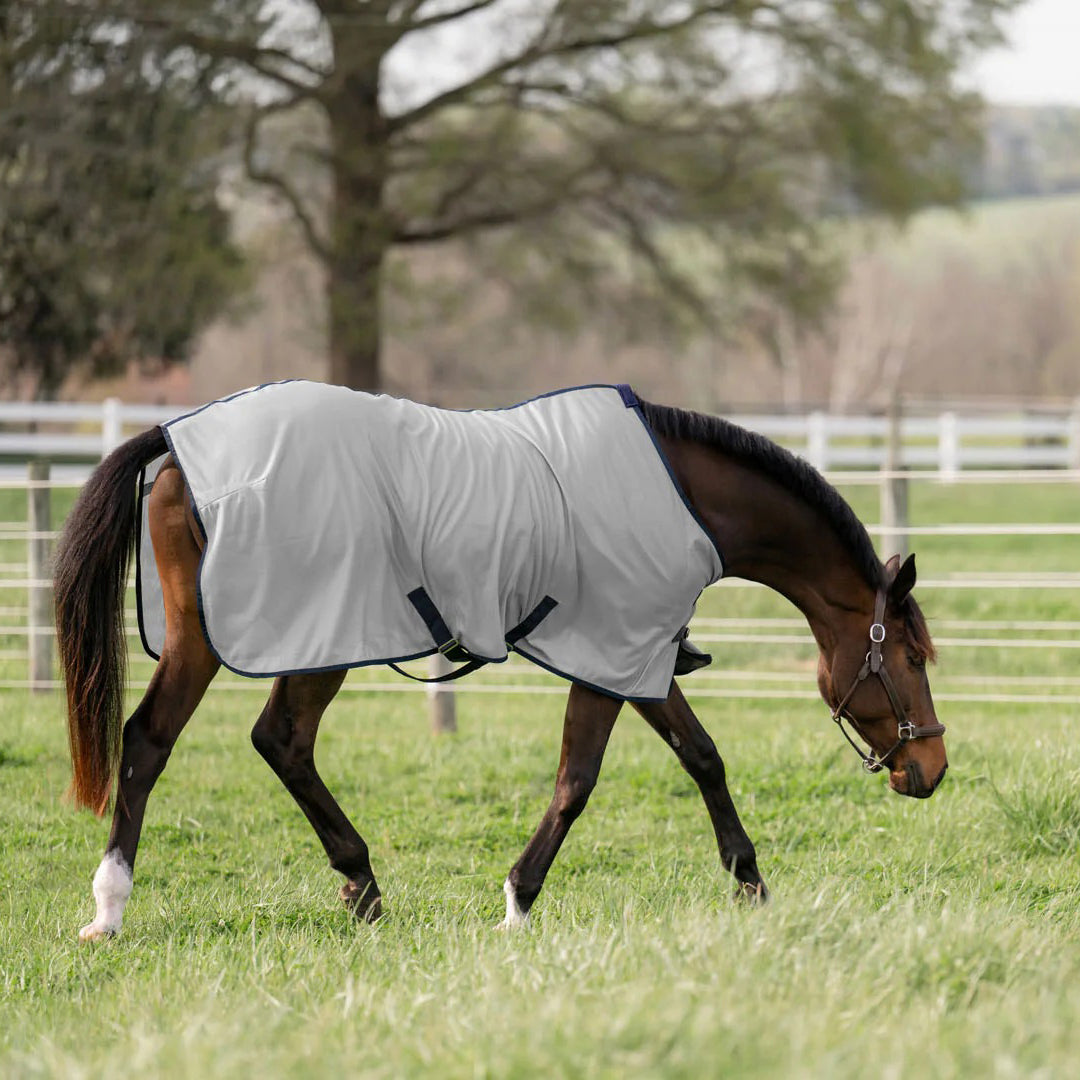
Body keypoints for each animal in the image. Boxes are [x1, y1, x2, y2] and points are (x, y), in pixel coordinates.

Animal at [54, 383, 947, 941]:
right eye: (908, 654)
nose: (932, 768)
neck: (682, 493)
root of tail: (178, 443)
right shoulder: (612, 652)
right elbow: (578, 782)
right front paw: (518, 901)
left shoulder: (639, 656)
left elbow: (702, 758)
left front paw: (751, 884)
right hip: (290, 638)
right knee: (217, 741)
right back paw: (129, 903)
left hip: (257, 638)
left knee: (209, 742)